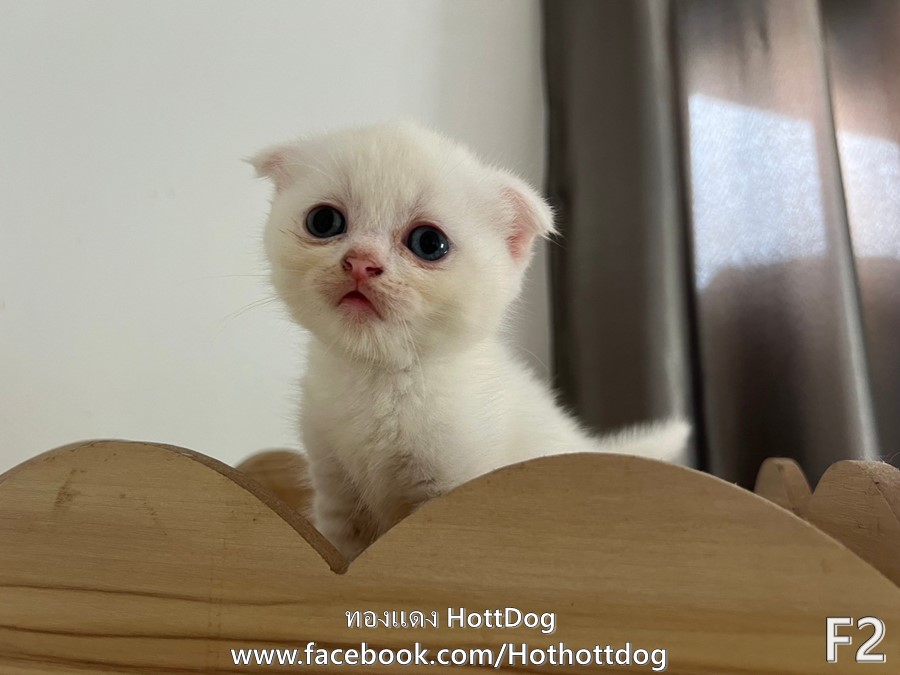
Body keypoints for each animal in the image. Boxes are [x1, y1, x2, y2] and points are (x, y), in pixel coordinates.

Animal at [251, 121, 690, 560]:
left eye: (429, 243)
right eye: (324, 221)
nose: (361, 262)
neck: (379, 380)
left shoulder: (454, 492)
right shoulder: (336, 493)